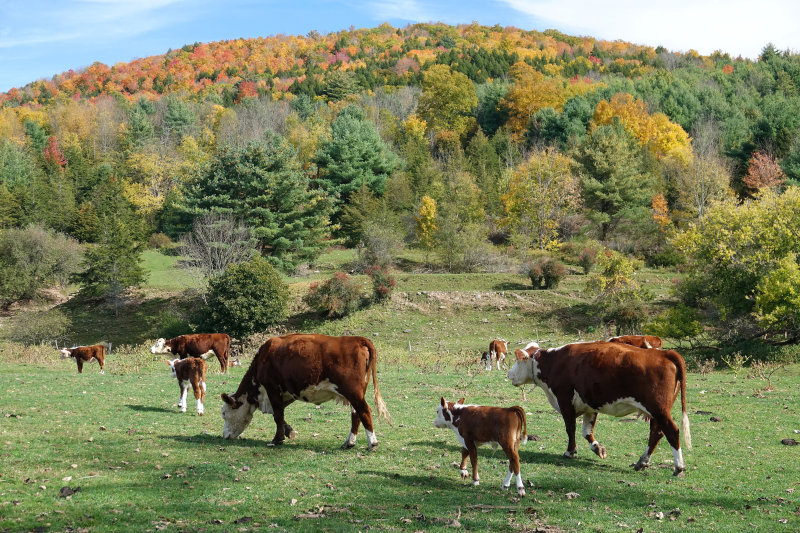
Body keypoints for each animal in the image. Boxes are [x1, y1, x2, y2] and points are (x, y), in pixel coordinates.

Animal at [220, 332, 392, 448]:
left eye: (224, 414)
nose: (224, 436)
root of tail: (357, 339)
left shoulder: (272, 388)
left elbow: (277, 415)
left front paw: (277, 440)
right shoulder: (289, 391)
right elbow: (278, 414)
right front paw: (288, 432)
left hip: (353, 392)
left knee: (364, 411)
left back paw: (372, 443)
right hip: (355, 393)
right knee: (356, 414)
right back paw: (349, 442)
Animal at [510, 338, 692, 476]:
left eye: (517, 360)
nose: (509, 374)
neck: (553, 362)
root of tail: (663, 353)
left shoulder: (564, 400)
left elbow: (570, 429)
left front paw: (570, 452)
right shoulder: (590, 405)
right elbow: (587, 431)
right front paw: (598, 449)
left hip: (659, 409)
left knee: (671, 431)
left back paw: (678, 467)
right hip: (656, 412)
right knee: (657, 432)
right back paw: (642, 462)